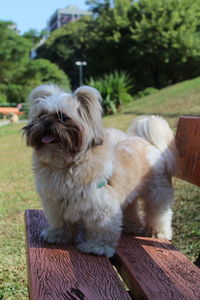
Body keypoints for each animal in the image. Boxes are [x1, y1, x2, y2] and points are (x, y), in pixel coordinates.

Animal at [22, 84, 177, 258]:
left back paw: (159, 232)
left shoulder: (102, 206)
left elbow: (101, 229)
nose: (47, 121)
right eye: (41, 115)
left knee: (159, 213)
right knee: (131, 209)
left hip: (157, 193)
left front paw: (97, 247)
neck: (65, 166)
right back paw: (130, 226)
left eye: (63, 117)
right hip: (130, 195)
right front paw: (58, 235)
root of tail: (147, 142)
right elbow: (60, 223)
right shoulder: (56, 204)